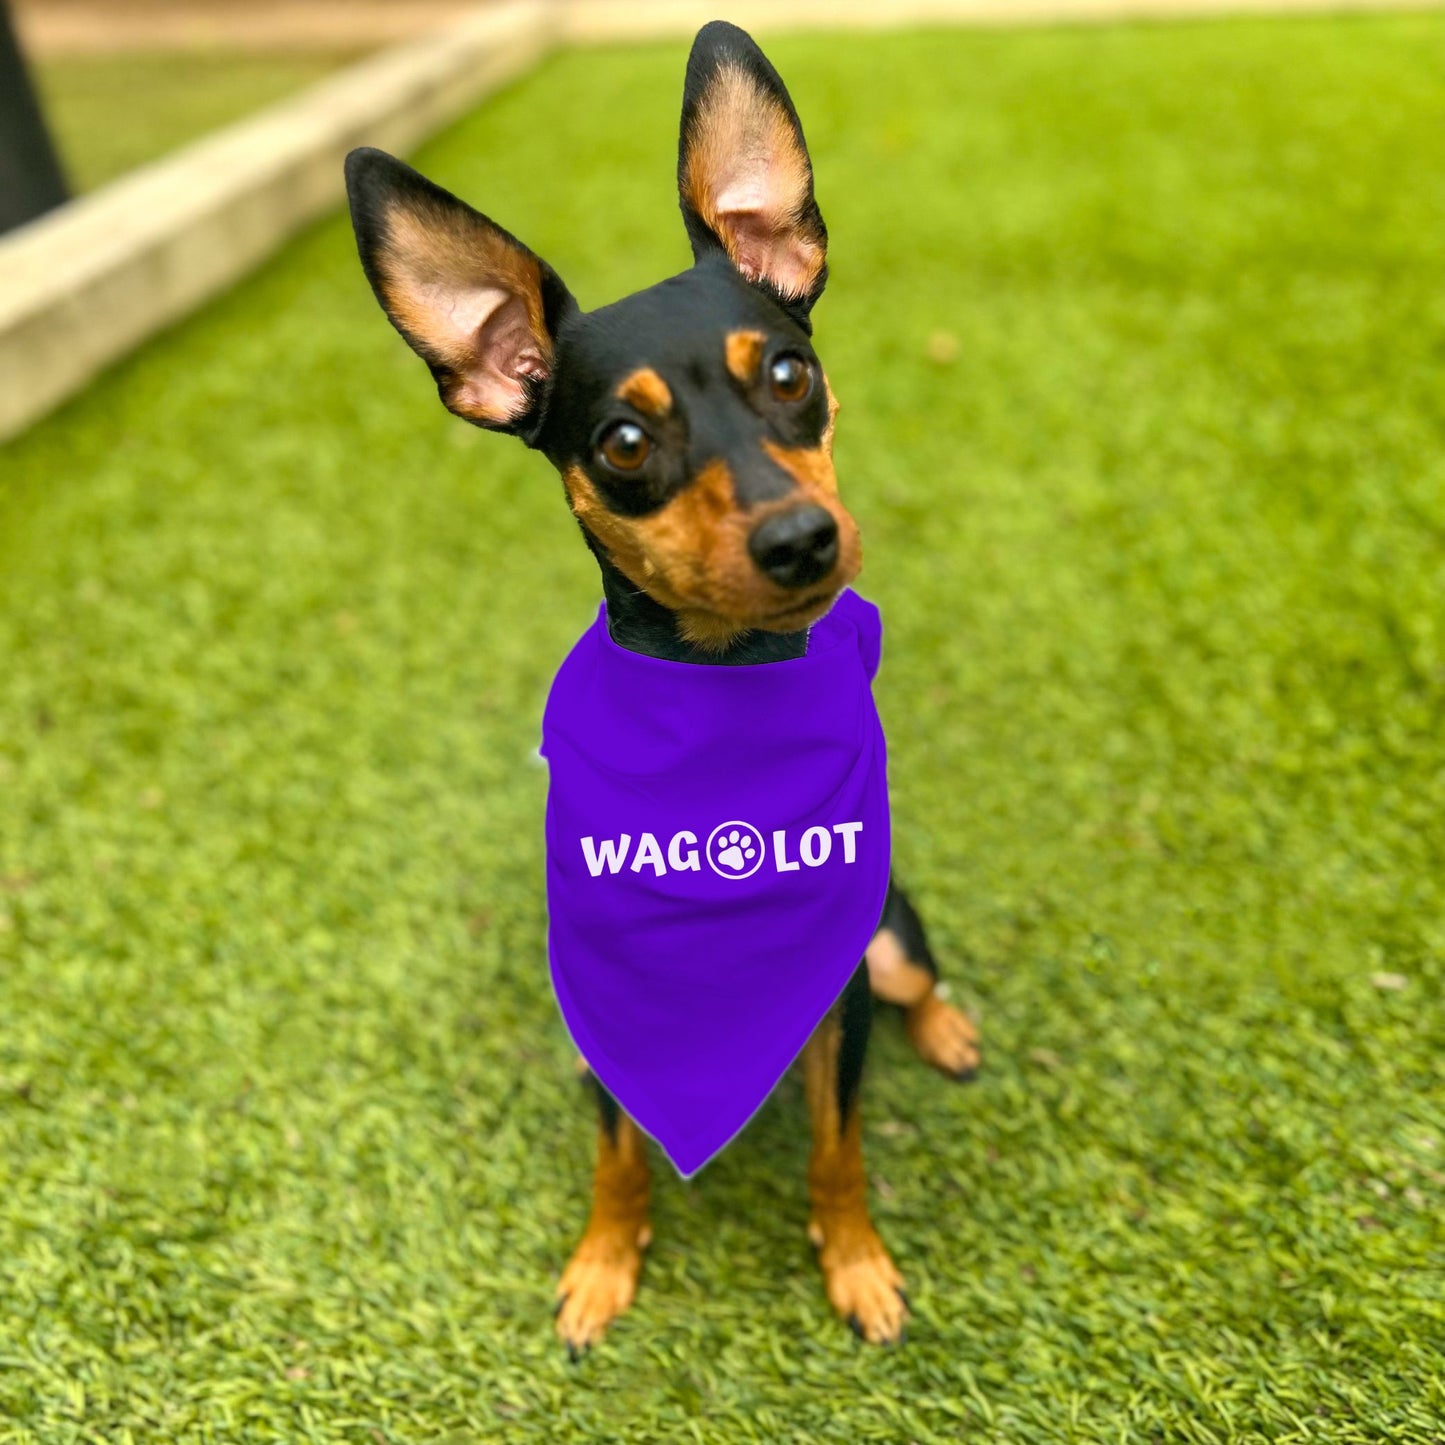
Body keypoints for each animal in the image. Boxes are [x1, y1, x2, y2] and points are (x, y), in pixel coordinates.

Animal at [343, 22, 982, 1352]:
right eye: (622, 444)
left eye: (789, 373)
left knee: (917, 972)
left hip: (887, 934)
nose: (800, 539)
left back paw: (948, 1028)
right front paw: (601, 1261)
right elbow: (617, 1154)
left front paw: (854, 1259)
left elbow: (837, 1147)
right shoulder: (603, 1001)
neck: (720, 704)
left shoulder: (836, 998)